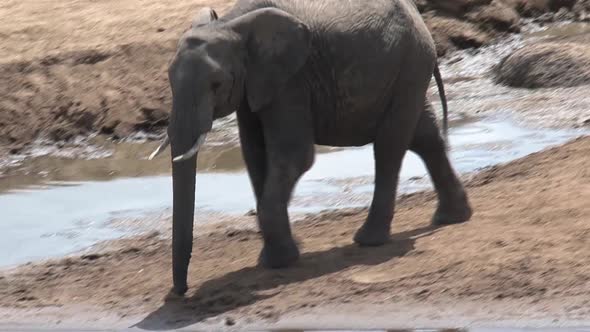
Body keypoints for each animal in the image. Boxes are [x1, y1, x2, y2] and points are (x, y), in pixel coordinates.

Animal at [150, 0, 474, 296]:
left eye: (216, 84)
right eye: (169, 80)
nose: (180, 292)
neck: (232, 24)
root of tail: (418, 16)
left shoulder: (291, 81)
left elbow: (294, 156)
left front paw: (281, 261)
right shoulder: (254, 87)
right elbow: (254, 155)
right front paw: (274, 256)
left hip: (409, 65)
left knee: (390, 145)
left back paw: (369, 240)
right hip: (406, 71)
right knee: (425, 137)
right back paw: (452, 217)